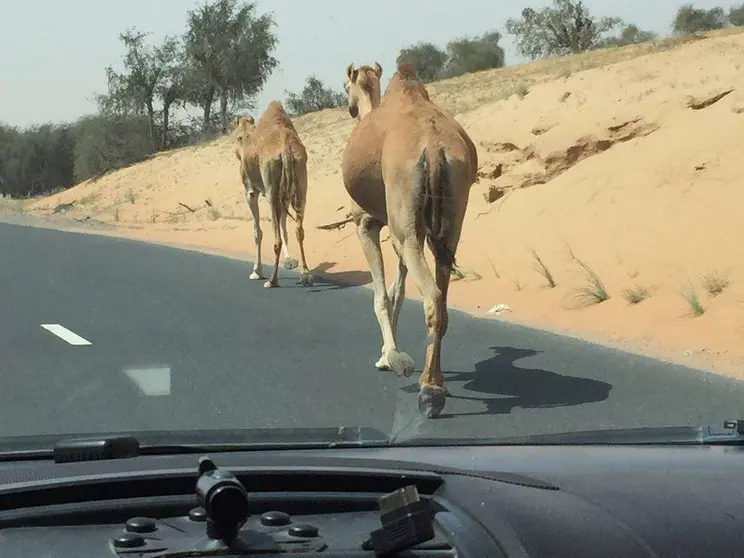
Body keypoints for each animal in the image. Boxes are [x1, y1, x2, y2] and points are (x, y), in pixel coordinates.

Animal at [234, 101, 312, 290]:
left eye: (238, 137)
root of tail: (286, 150)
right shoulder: (284, 193)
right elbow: (284, 229)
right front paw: (290, 261)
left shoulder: (250, 191)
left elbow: (257, 231)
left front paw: (256, 271)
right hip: (300, 184)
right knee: (299, 230)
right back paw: (306, 274)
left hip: (271, 190)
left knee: (275, 236)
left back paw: (272, 280)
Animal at [342, 62, 476, 420]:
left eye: (346, 87)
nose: (350, 108)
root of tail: (434, 147)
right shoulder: (396, 231)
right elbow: (397, 292)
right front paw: (390, 354)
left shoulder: (367, 224)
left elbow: (382, 296)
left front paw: (390, 358)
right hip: (447, 227)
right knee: (442, 296)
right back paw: (436, 381)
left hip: (410, 227)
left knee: (432, 296)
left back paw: (429, 391)